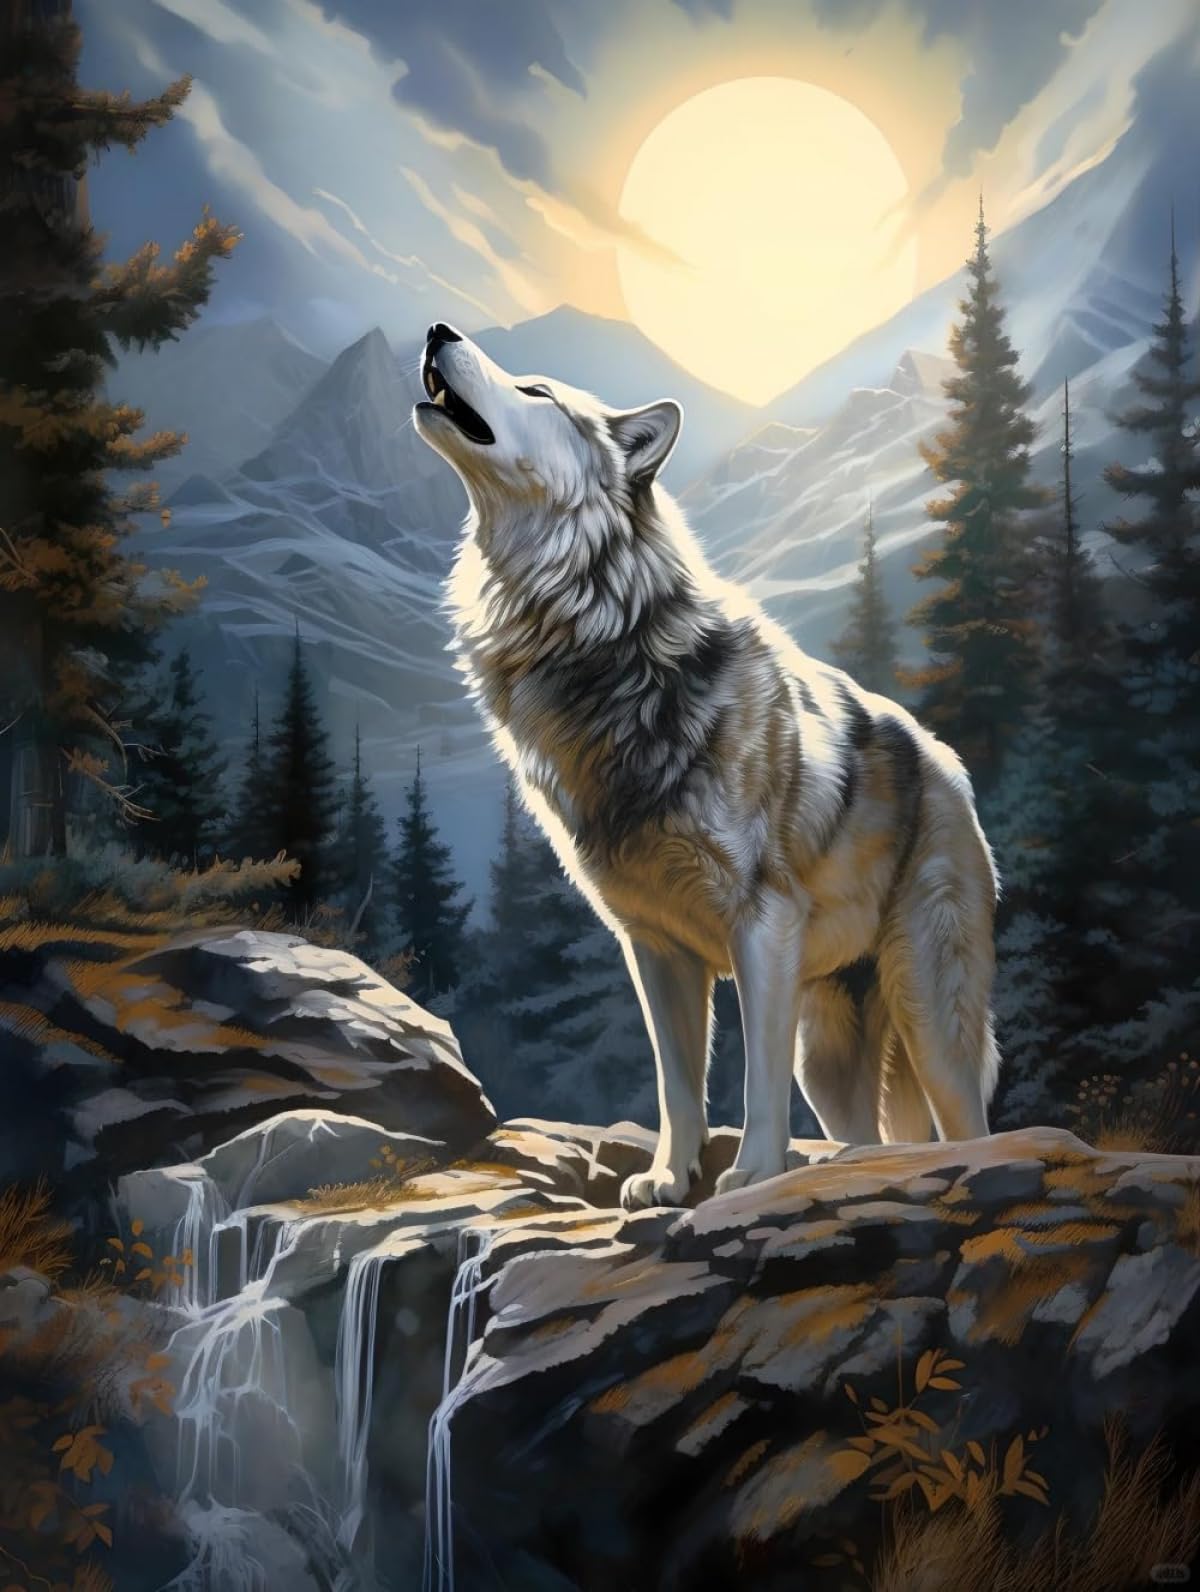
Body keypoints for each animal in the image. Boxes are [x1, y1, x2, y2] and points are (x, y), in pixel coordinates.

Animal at [414, 321, 1000, 1211]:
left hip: (930, 1018)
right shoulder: (653, 948)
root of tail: (946, 762)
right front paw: (668, 1176)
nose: (438, 330)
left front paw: (753, 1174)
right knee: (877, 1133)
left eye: (536, 391)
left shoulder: (760, 926)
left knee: (973, 1125)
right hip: (831, 1058)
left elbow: (753, 1076)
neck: (604, 647)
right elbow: (677, 1081)